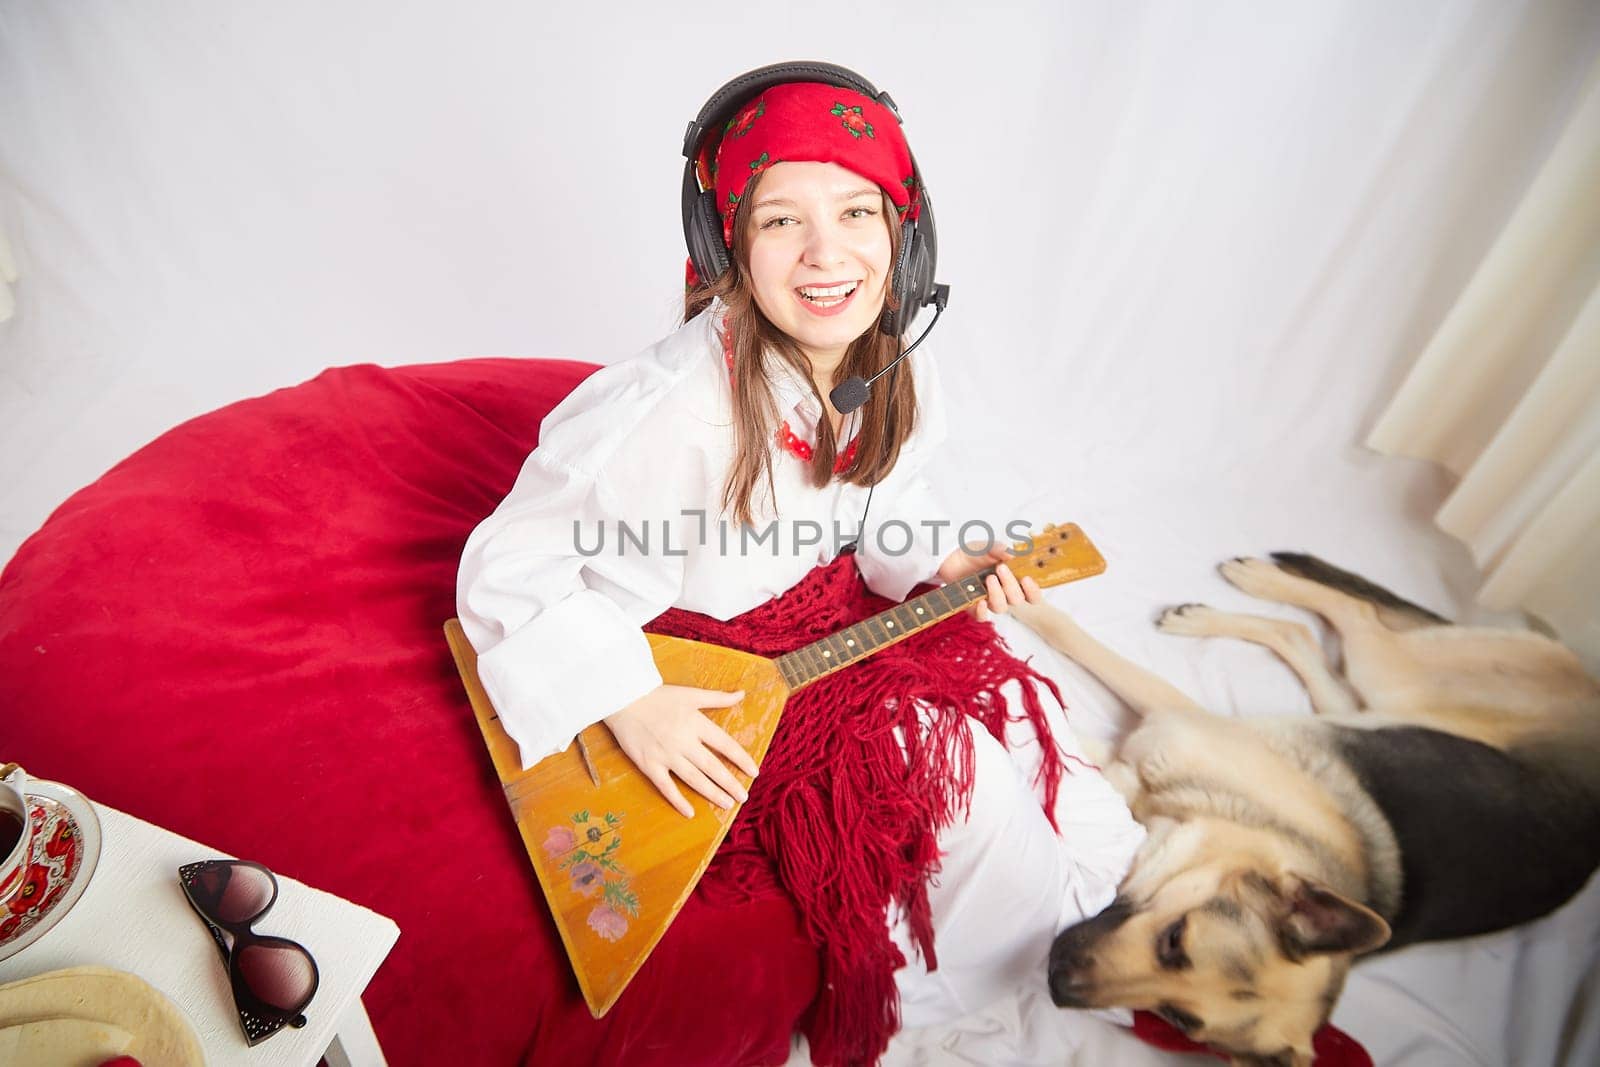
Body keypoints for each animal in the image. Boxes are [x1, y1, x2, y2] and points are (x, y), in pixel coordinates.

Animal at [1011, 556, 1600, 1067]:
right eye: (1176, 938)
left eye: (1178, 1020)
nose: (1056, 980)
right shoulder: (1166, 716)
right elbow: (1076, 640)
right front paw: (1022, 604)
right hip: (1394, 680)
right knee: (1344, 619)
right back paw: (1244, 588)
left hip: (1376, 702)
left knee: (1313, 642)